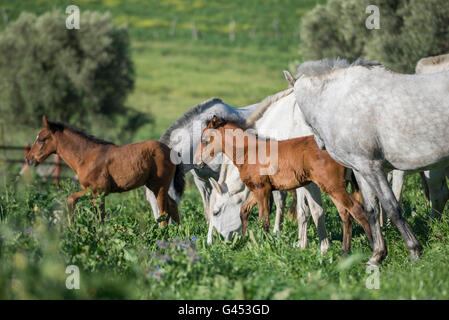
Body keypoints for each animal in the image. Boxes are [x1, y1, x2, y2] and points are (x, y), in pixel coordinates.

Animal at [24, 115, 181, 225]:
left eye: (41, 139)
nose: (29, 159)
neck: (87, 157)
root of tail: (171, 151)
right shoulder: (95, 193)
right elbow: (93, 212)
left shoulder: (98, 192)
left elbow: (84, 208)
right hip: (155, 186)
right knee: (172, 206)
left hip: (160, 186)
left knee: (164, 212)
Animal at [194, 116, 372, 251]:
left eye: (204, 140)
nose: (196, 162)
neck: (249, 151)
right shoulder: (257, 190)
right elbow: (244, 210)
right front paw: (245, 241)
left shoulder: (262, 190)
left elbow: (263, 219)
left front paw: (264, 245)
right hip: (333, 188)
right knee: (345, 214)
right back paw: (344, 251)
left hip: (333, 187)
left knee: (357, 210)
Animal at [286, 58, 448, 264]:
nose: (318, 144)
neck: (338, 100)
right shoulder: (361, 169)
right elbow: (371, 210)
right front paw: (377, 256)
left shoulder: (372, 167)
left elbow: (392, 207)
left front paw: (414, 251)